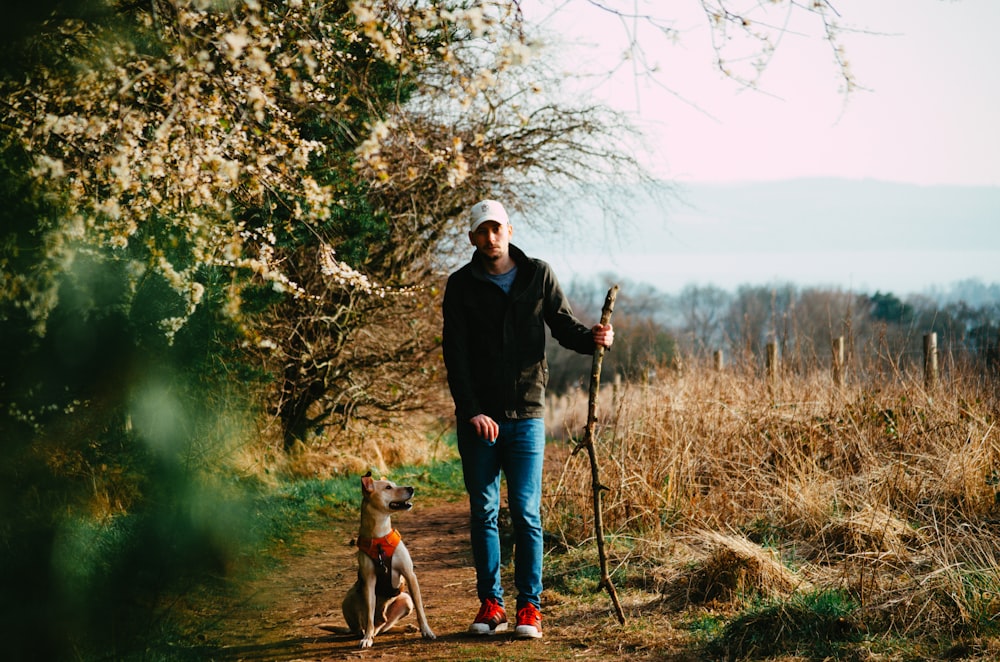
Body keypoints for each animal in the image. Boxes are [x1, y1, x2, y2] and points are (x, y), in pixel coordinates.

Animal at [332, 474, 434, 652]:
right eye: (388, 487)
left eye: (394, 484)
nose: (411, 488)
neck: (379, 538)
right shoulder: (369, 582)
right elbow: (369, 616)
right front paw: (367, 639)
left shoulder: (410, 575)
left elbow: (420, 609)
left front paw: (426, 631)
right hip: (349, 599)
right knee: (368, 626)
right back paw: (369, 634)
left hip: (406, 600)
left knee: (384, 626)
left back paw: (405, 627)